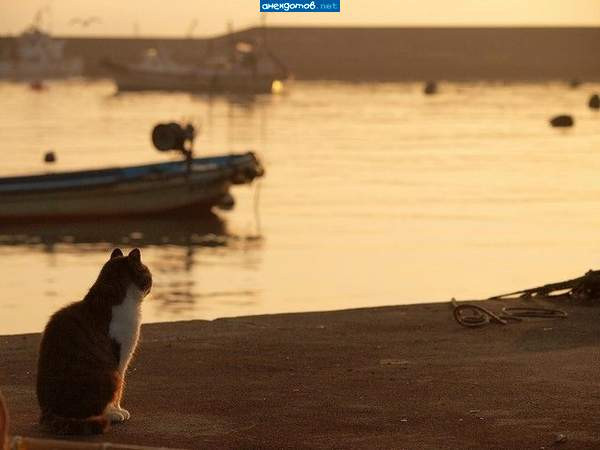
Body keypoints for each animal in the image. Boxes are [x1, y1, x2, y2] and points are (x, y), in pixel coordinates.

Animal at [35, 248, 152, 434]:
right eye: (148, 273)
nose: (151, 284)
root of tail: (48, 411)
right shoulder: (120, 360)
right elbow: (119, 391)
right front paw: (116, 411)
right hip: (108, 375)